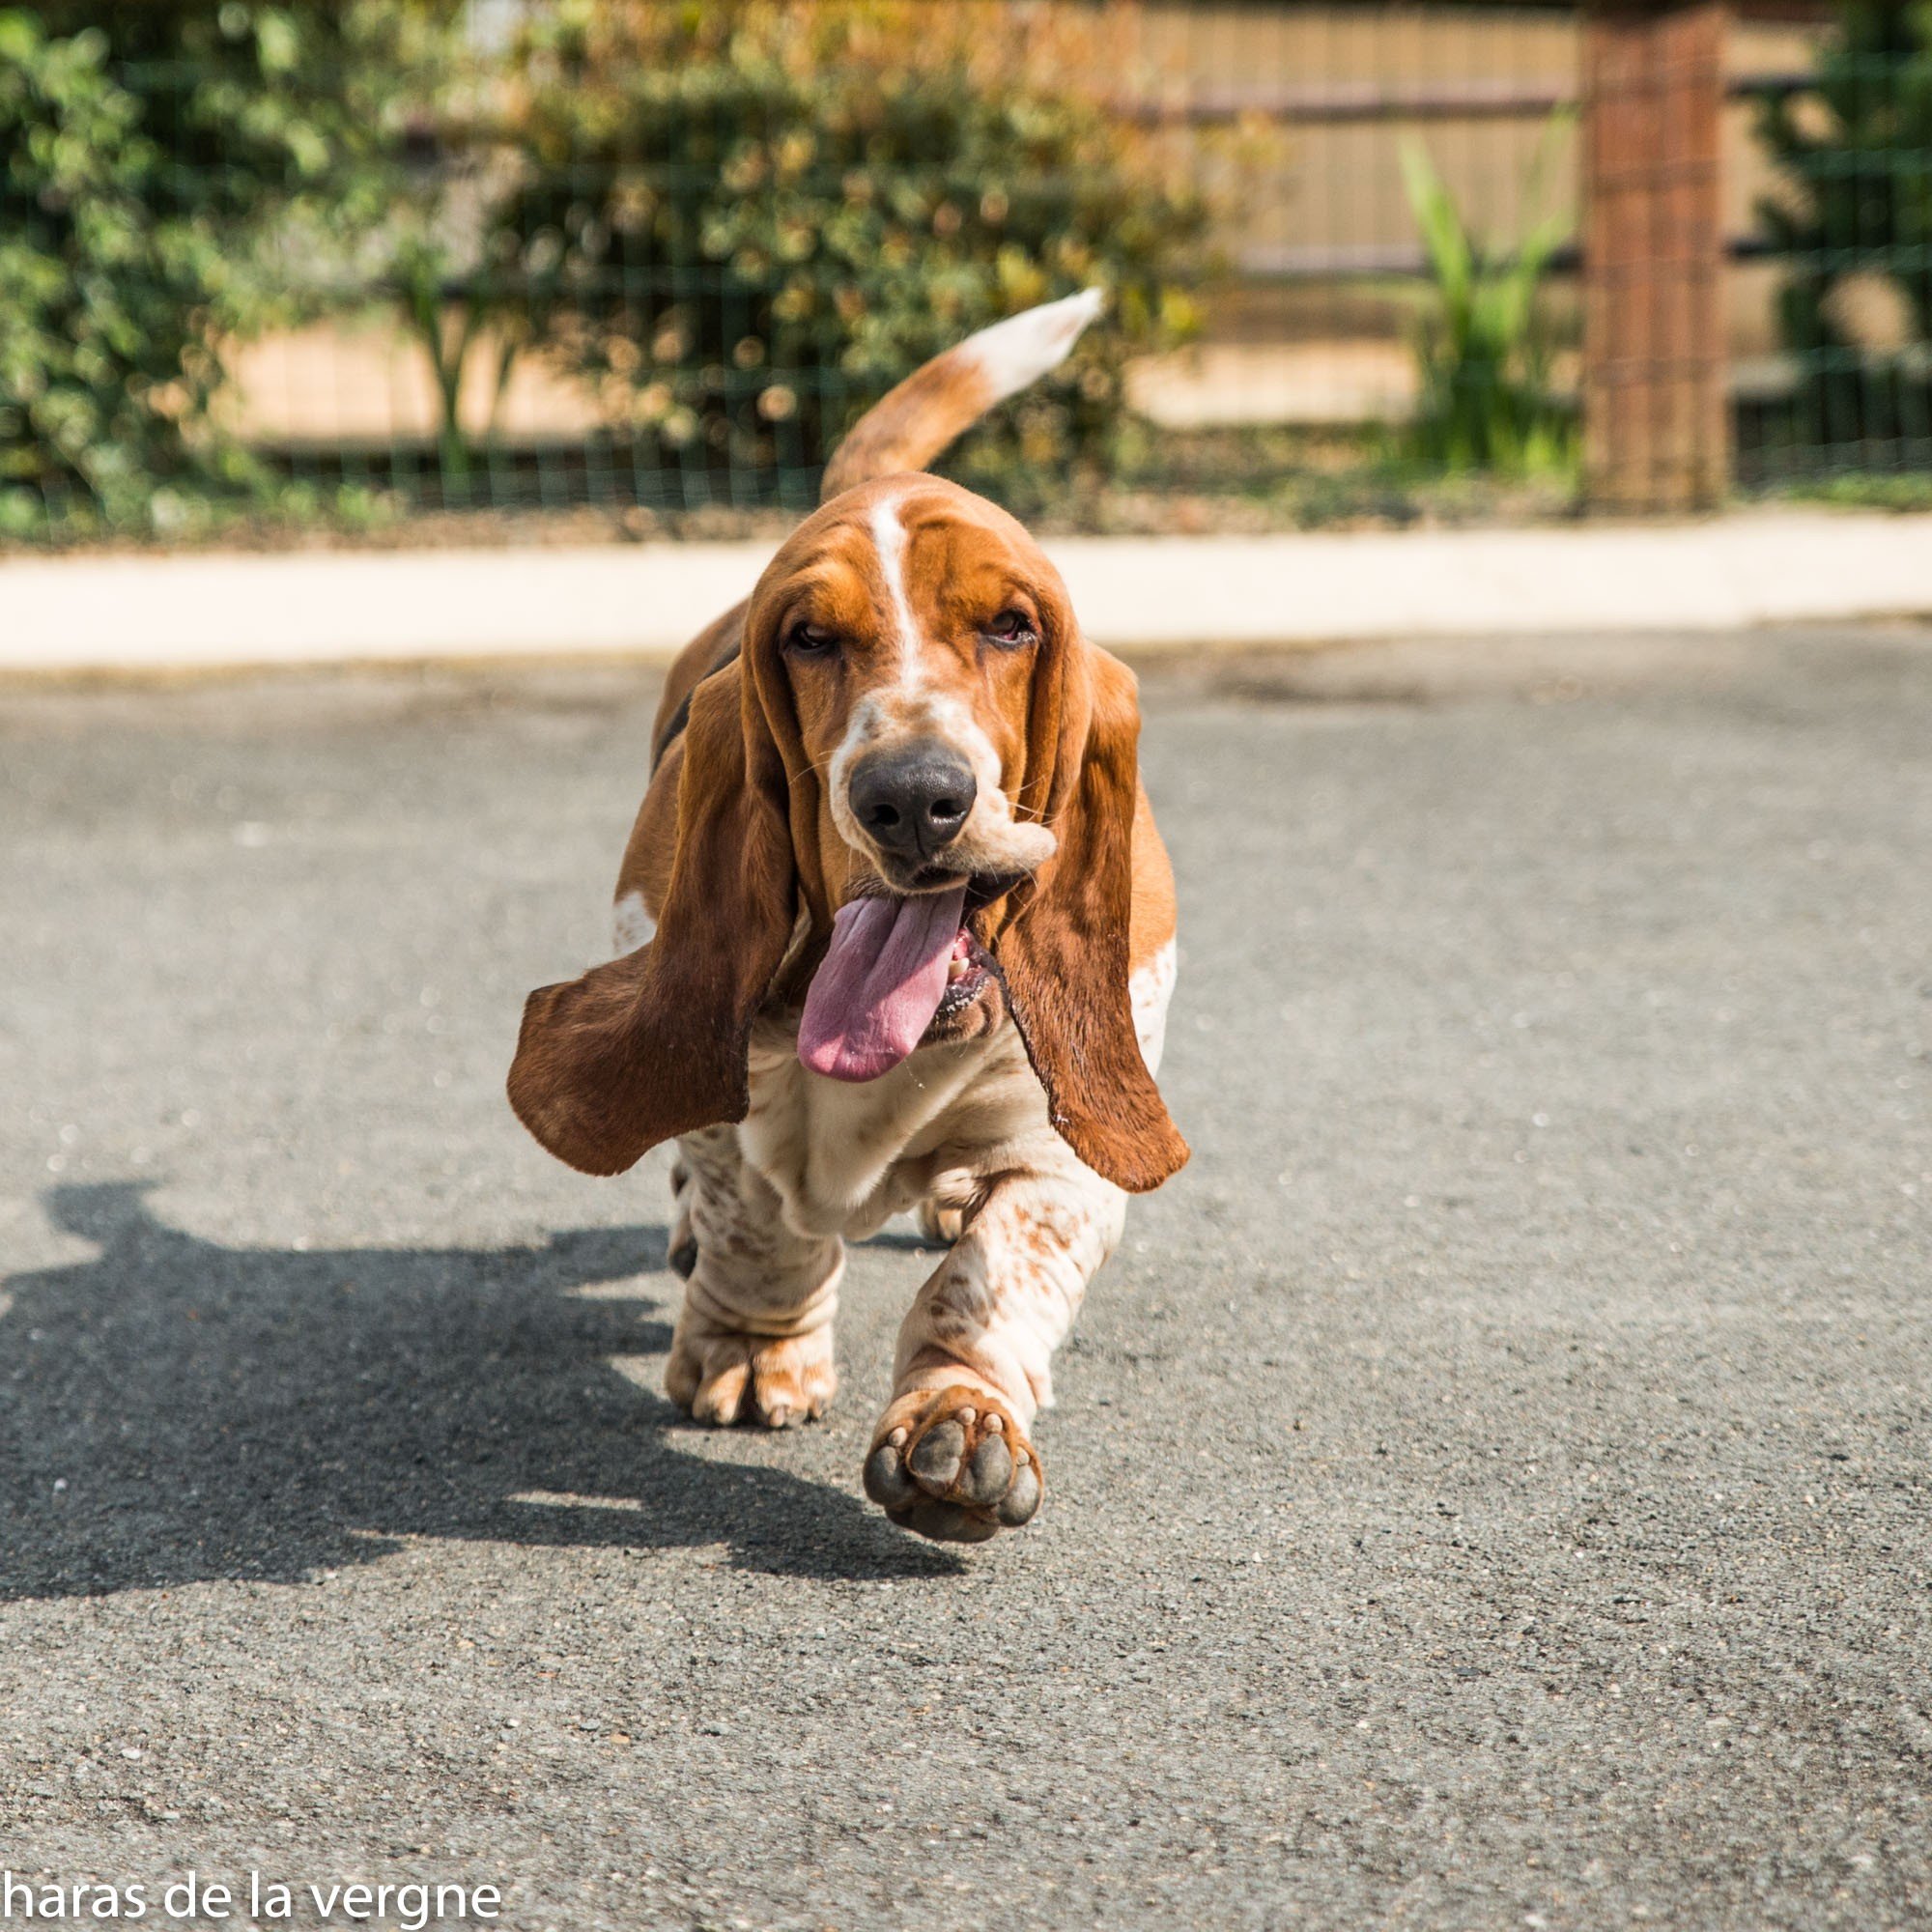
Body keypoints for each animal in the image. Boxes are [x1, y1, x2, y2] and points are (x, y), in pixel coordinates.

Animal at [506, 286, 1182, 1546]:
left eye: (1011, 626)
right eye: (808, 638)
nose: (911, 796)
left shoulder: (1063, 1150)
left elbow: (993, 1272)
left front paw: (957, 1421)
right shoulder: (723, 1096)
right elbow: (757, 1219)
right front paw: (750, 1352)